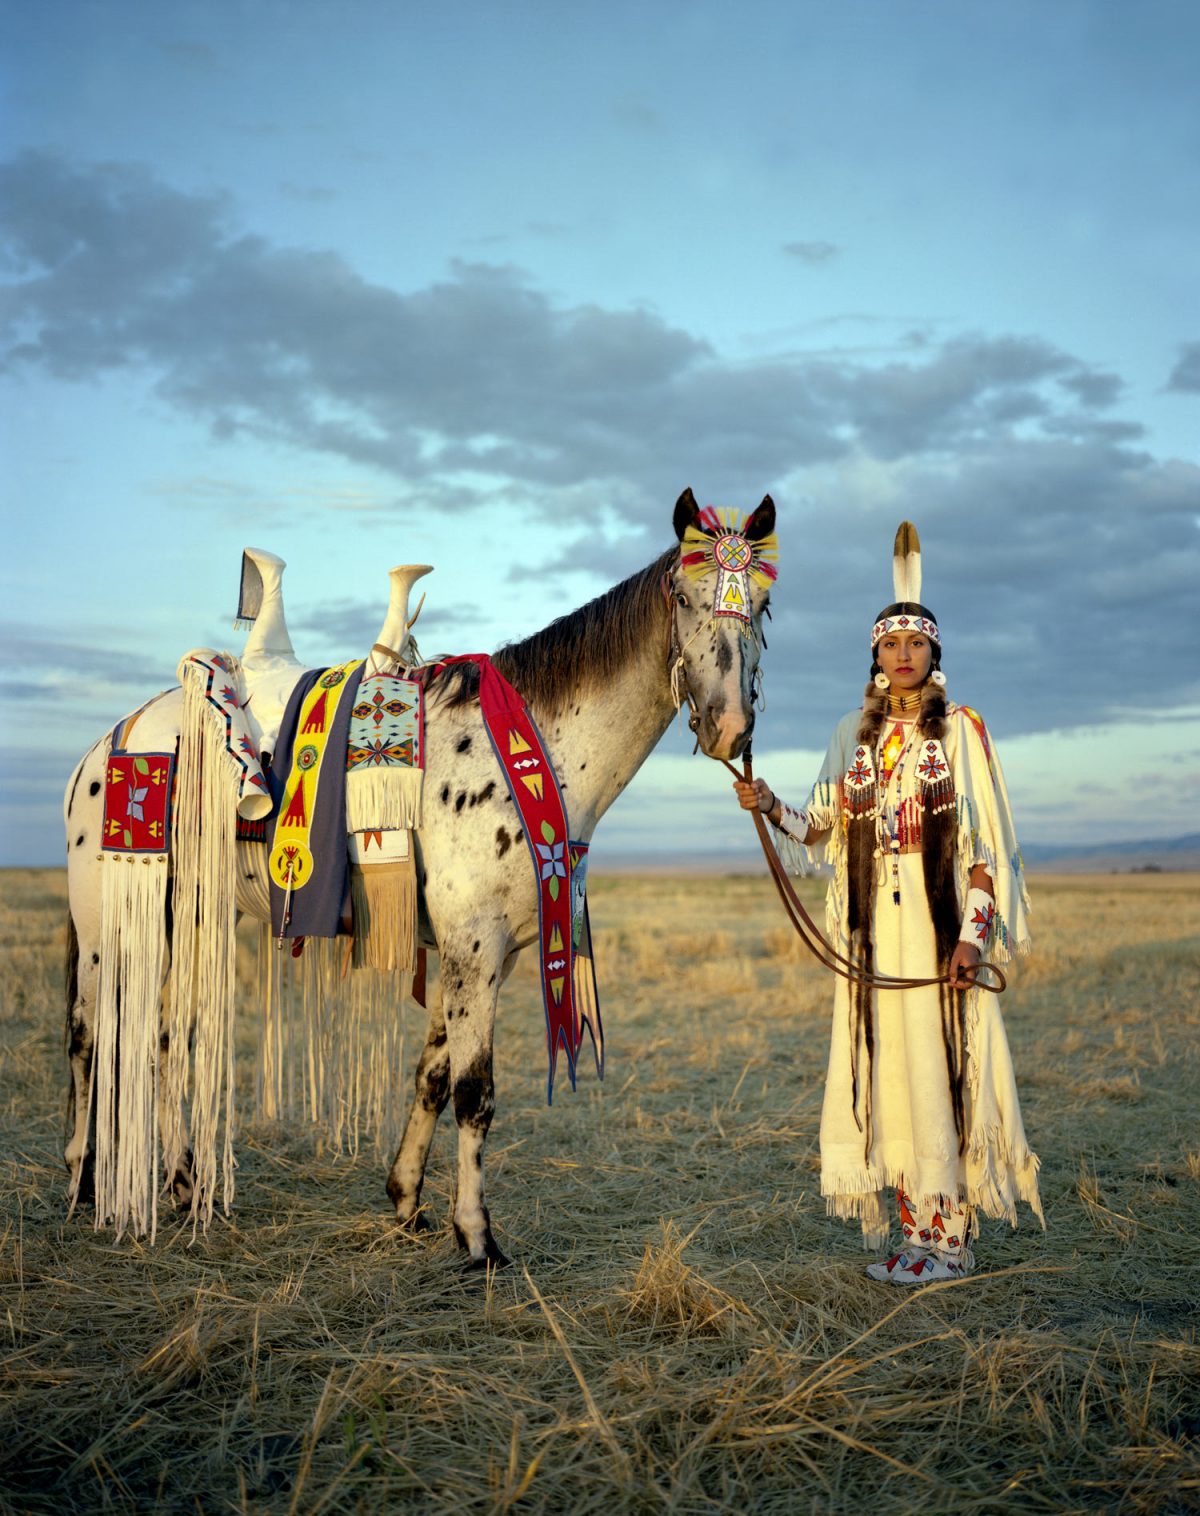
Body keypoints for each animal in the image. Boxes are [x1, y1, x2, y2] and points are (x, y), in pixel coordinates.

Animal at [62, 489, 776, 1265]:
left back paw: (184, 1185)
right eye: (682, 595)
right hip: (110, 924)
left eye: (764, 605)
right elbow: (474, 1093)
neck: (526, 746)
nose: (730, 726)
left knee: (166, 1041)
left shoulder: (483, 954)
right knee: (91, 1035)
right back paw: (85, 1182)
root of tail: (111, 740)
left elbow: (432, 1076)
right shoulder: (475, 948)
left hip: (192, 919)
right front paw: (478, 1238)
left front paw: (406, 1200)